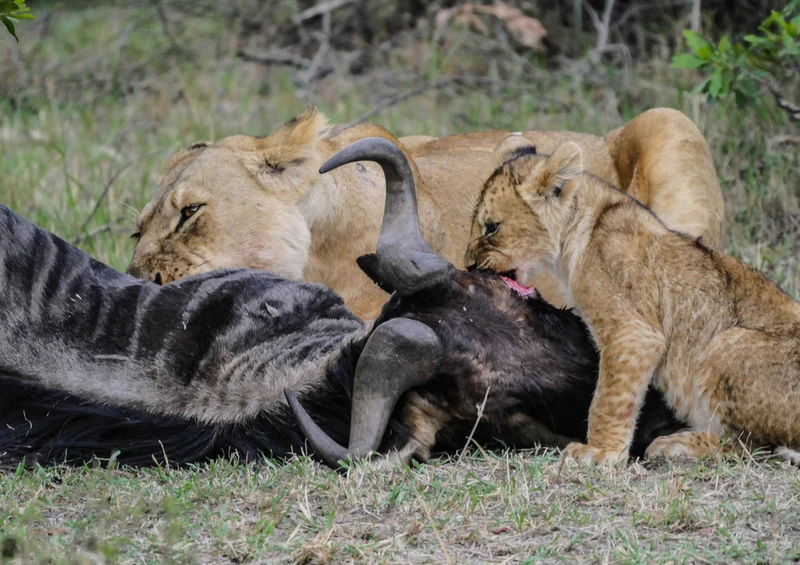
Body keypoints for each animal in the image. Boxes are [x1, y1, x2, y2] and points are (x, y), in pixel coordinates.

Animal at [465, 137, 800, 466]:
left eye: (491, 227)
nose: (469, 265)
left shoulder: (632, 331)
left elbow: (610, 397)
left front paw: (600, 451)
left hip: (723, 344)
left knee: (752, 446)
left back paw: (678, 445)